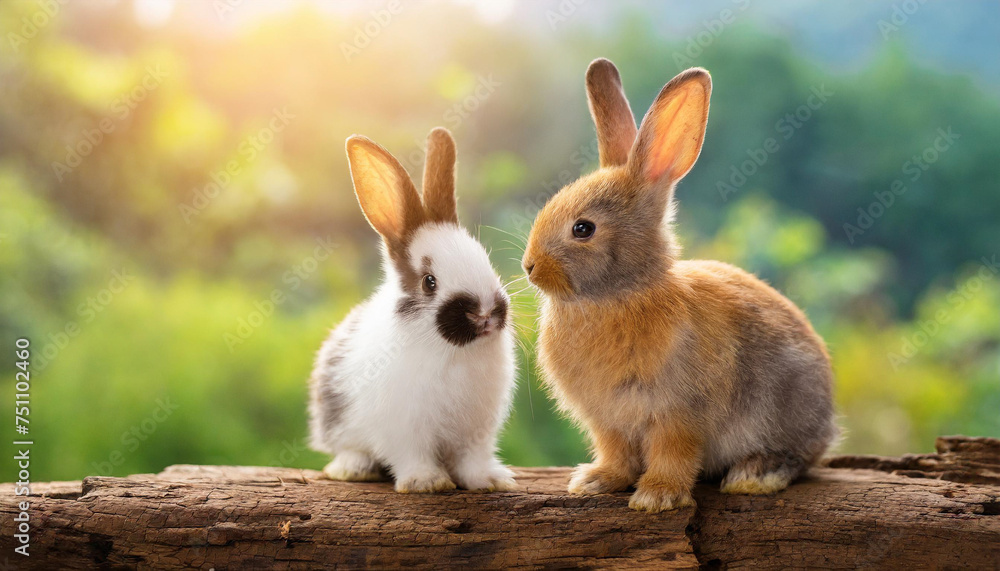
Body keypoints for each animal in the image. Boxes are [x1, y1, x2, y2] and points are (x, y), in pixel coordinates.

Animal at [309, 127, 517, 493]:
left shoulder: (477, 431)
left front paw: (490, 481)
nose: (485, 313)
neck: (453, 354)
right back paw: (355, 469)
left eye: (485, 260)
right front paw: (427, 483)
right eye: (429, 282)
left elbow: (473, 459)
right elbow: (413, 456)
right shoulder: (405, 429)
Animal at [521, 59, 838, 512]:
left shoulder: (680, 414)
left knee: (796, 457)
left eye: (583, 228)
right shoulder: (608, 422)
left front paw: (656, 497)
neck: (618, 293)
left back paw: (753, 476)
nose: (530, 267)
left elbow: (674, 455)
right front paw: (596, 481)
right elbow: (616, 453)